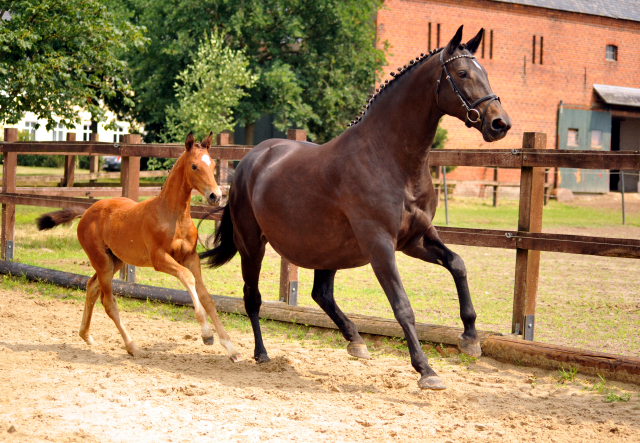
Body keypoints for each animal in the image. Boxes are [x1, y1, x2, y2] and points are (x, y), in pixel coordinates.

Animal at [38, 131, 242, 360]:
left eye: (213, 165)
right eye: (194, 166)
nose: (216, 196)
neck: (173, 216)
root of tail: (86, 212)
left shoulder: (191, 257)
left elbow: (206, 297)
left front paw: (231, 348)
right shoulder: (159, 259)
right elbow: (187, 278)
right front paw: (207, 334)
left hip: (115, 260)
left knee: (91, 287)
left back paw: (86, 336)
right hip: (102, 261)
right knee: (108, 302)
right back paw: (132, 346)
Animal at [202, 26, 512, 390]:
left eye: (484, 71)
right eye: (462, 73)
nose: (500, 124)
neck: (390, 159)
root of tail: (251, 159)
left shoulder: (415, 239)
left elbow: (458, 265)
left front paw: (470, 338)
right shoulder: (380, 245)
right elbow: (402, 306)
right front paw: (426, 370)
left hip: (326, 248)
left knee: (321, 293)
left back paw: (356, 341)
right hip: (252, 244)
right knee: (253, 297)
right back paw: (262, 354)